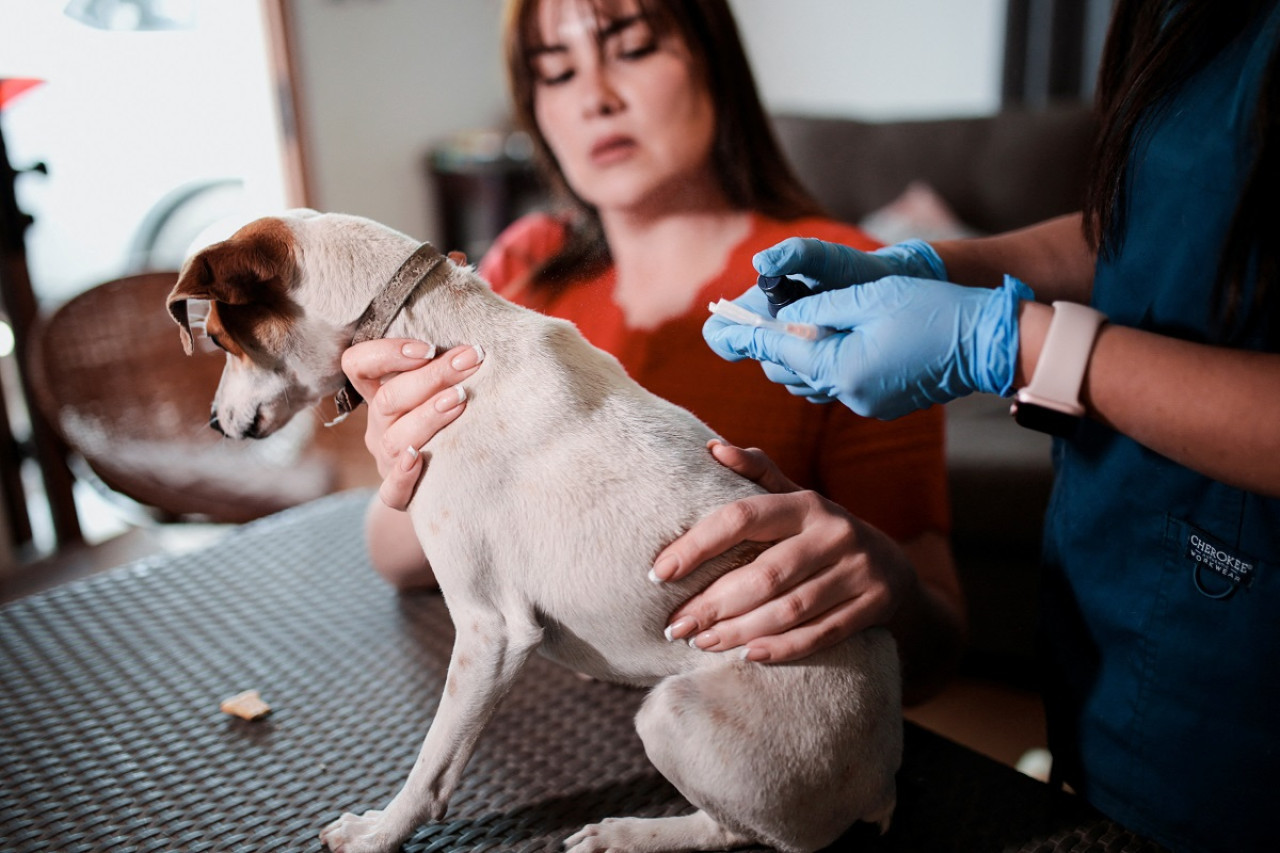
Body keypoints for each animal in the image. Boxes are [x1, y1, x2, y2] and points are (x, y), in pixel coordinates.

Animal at [167, 208, 901, 850]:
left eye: (221, 342)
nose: (212, 423)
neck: (428, 328)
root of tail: (880, 775)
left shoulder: (488, 629)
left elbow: (433, 765)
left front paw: (380, 831)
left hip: (673, 715)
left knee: (740, 830)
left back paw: (629, 834)